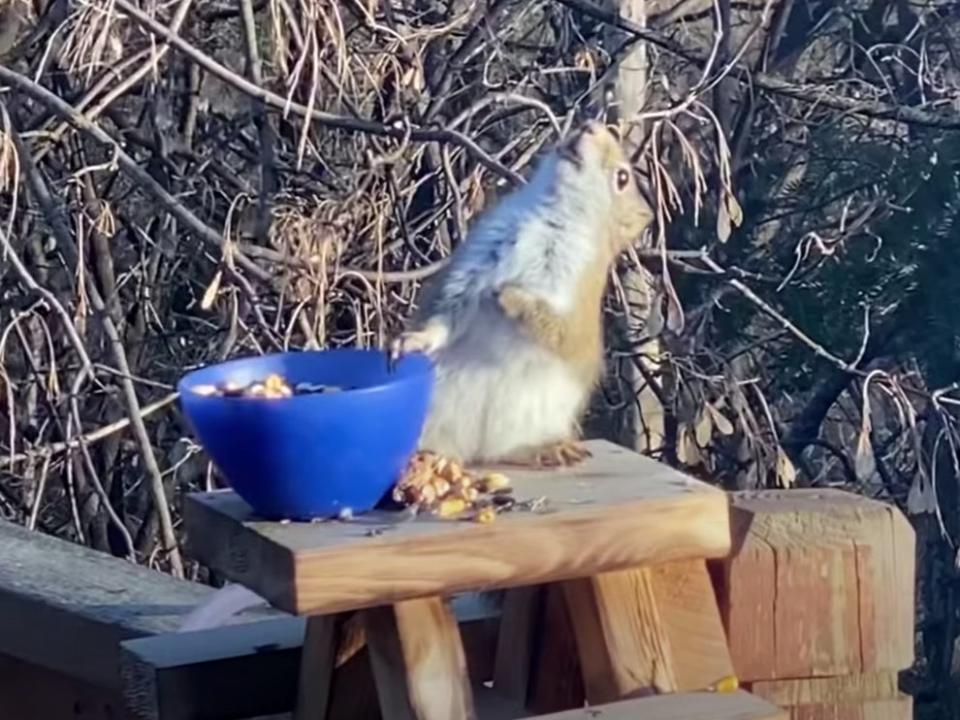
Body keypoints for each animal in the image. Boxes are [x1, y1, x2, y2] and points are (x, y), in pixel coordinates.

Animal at [388, 119, 652, 466]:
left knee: (507, 451)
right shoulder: (473, 266)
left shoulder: (574, 297)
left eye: (622, 178)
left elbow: (554, 330)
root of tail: (469, 450)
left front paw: (507, 294)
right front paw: (412, 341)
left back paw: (548, 449)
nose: (589, 125)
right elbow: (446, 315)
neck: (551, 214)